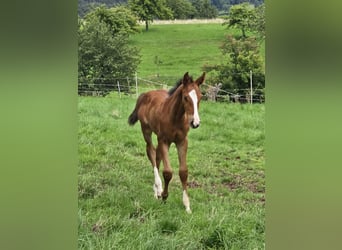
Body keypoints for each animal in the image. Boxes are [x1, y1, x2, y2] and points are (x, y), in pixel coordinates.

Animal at [127, 72, 203, 213]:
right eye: (185, 97)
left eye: (200, 97)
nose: (195, 123)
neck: (175, 118)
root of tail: (145, 94)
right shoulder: (164, 141)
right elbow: (168, 172)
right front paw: (164, 196)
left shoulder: (182, 141)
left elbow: (183, 172)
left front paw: (187, 205)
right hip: (147, 131)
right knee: (151, 152)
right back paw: (158, 188)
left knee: (157, 156)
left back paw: (156, 190)